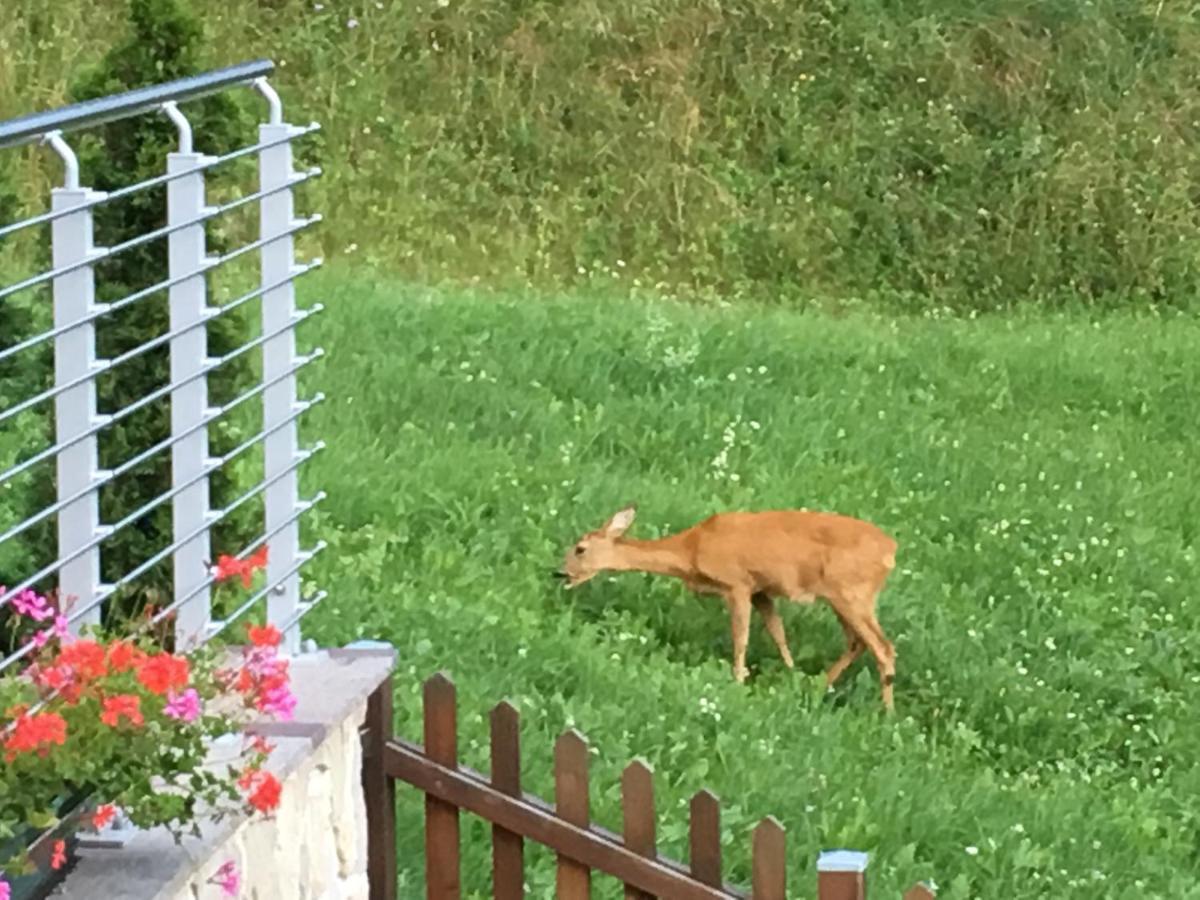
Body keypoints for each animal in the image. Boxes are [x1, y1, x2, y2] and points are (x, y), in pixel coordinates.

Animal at [556, 508, 897, 710]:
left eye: (580, 549)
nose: (558, 573)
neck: (691, 551)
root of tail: (891, 550)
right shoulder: (760, 591)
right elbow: (778, 633)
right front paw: (789, 672)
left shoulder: (737, 584)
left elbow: (741, 638)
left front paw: (738, 681)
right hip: (843, 597)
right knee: (857, 642)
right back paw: (818, 687)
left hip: (852, 593)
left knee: (883, 647)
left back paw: (887, 712)